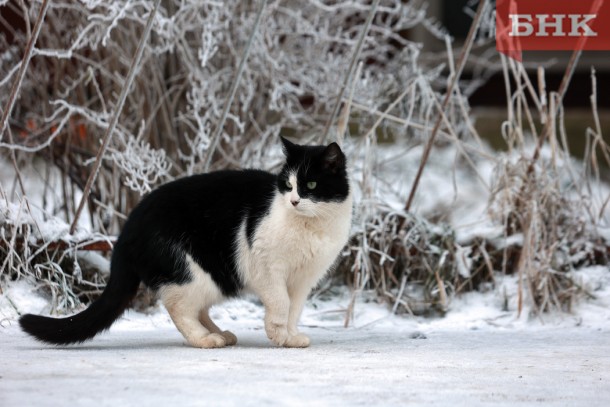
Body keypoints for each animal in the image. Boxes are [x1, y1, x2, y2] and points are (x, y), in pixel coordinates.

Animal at [20, 136, 352, 348]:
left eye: (310, 185)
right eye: (287, 184)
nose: (294, 200)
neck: (310, 226)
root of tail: (128, 227)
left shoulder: (304, 279)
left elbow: (294, 309)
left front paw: (290, 336)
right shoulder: (267, 267)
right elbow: (280, 302)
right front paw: (277, 333)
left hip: (213, 277)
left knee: (198, 309)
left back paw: (221, 335)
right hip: (188, 270)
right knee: (179, 308)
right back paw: (205, 339)